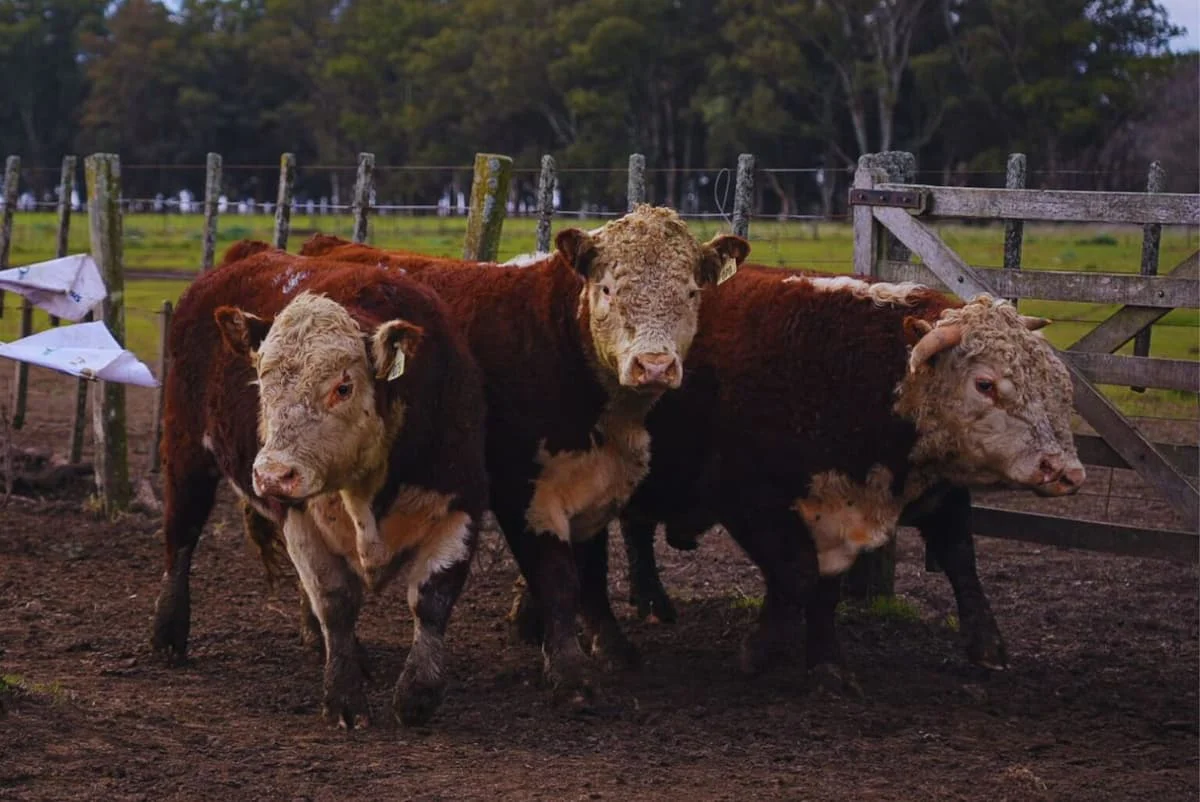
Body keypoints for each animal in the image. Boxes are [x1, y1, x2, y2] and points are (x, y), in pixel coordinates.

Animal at [150, 243, 489, 729]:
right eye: (262, 381)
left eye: (343, 387)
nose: (272, 474)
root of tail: (251, 252)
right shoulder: (299, 515)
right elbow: (335, 600)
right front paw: (344, 696)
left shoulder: (462, 502)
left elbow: (432, 598)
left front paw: (418, 694)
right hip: (185, 452)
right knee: (181, 535)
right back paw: (169, 631)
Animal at [299, 205, 750, 702]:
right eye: (608, 288)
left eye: (691, 291)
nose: (654, 366)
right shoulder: (521, 490)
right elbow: (559, 579)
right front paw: (569, 672)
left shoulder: (594, 485)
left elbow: (592, 570)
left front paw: (611, 645)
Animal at [522, 266, 1085, 690]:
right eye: (985, 384)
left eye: (1058, 384)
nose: (1065, 470)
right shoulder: (752, 501)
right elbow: (796, 574)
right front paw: (762, 648)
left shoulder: (901, 497)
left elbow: (953, 561)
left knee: (632, 530)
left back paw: (647, 602)